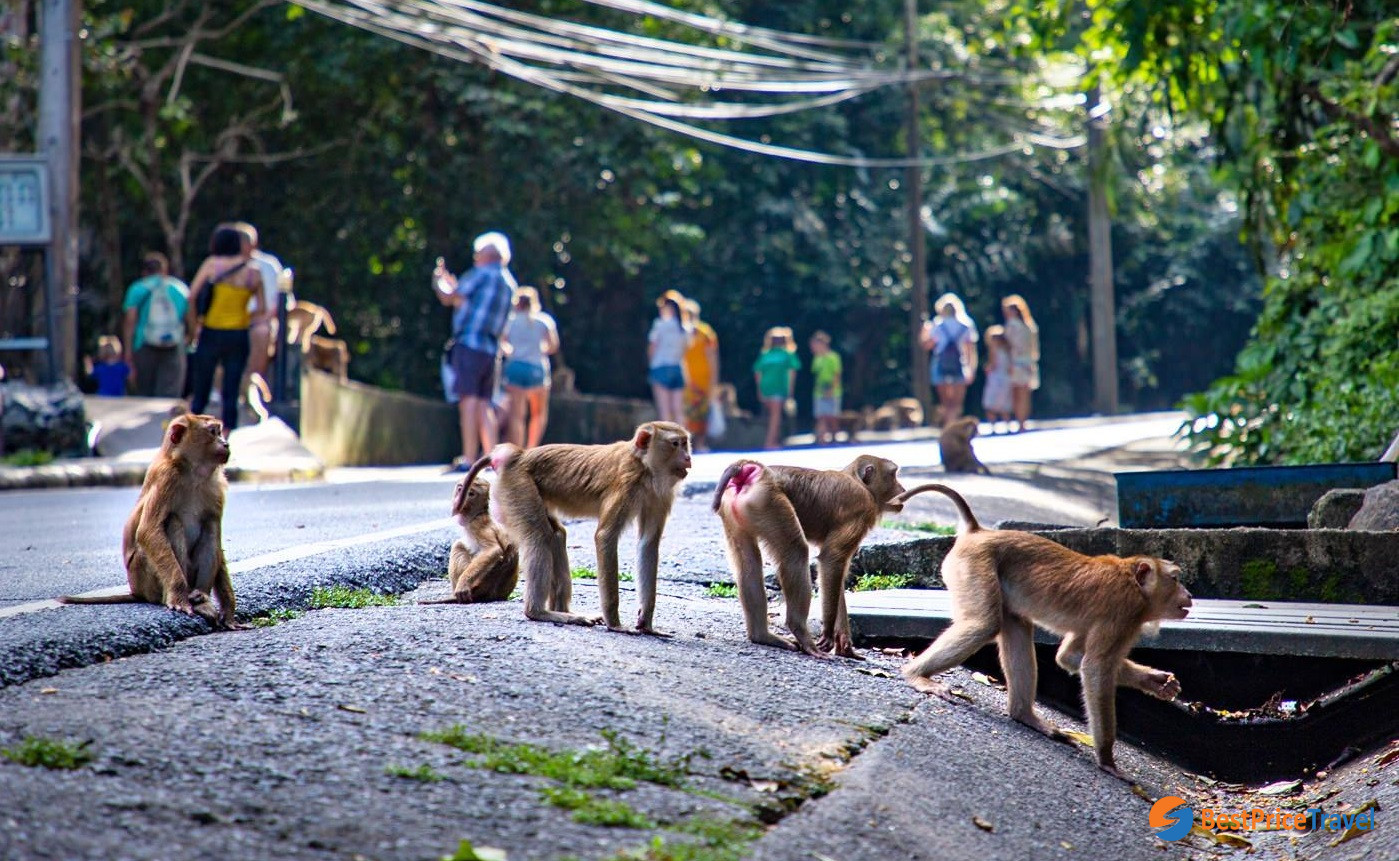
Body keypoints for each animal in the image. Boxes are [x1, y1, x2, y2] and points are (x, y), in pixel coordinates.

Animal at [60, 414, 241, 629]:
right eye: (213, 432)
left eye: (219, 432)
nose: (226, 443)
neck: (192, 472)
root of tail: (136, 591)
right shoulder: (166, 478)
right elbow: (148, 530)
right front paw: (178, 596)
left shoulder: (216, 487)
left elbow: (216, 534)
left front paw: (228, 609)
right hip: (144, 576)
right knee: (173, 523)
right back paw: (185, 598)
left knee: (210, 526)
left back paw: (201, 597)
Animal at [471, 421, 692, 632]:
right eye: (675, 444)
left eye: (685, 443)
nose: (689, 458)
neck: (644, 467)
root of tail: (519, 455)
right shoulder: (626, 486)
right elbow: (605, 536)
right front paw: (615, 624)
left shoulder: (660, 495)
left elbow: (648, 543)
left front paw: (646, 623)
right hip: (518, 485)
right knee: (539, 537)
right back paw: (539, 612)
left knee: (556, 535)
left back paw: (563, 611)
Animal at [712, 455, 906, 658]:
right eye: (893, 474)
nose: (902, 489)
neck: (857, 480)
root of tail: (753, 468)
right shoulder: (862, 508)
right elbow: (832, 558)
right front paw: (828, 634)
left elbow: (833, 572)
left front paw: (845, 645)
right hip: (768, 502)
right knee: (795, 552)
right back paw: (801, 633)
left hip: (738, 509)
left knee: (748, 564)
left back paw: (762, 636)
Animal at [895, 482, 1192, 780]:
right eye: (1175, 578)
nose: (1189, 594)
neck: (1135, 586)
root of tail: (979, 532)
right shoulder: (1122, 614)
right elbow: (1095, 668)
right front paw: (1107, 758)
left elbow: (1070, 658)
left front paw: (1155, 681)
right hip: (974, 566)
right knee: (984, 625)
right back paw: (915, 675)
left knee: (1016, 627)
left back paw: (1024, 715)